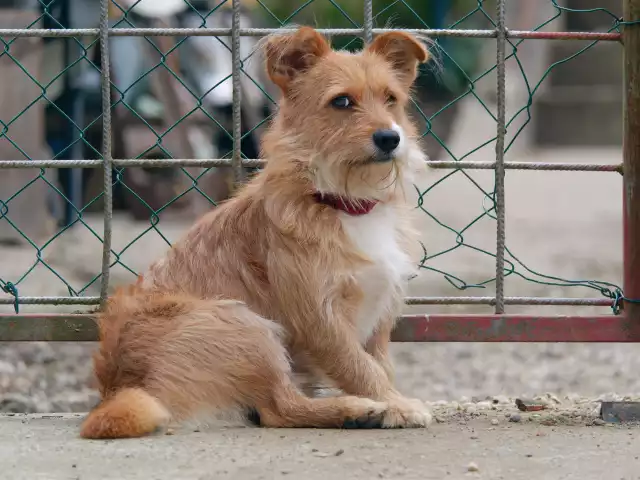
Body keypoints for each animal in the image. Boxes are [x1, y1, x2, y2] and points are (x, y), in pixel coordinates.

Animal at [79, 26, 430, 438]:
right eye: (342, 101)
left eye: (391, 99)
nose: (390, 139)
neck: (344, 201)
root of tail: (116, 388)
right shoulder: (319, 318)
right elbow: (360, 367)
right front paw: (395, 405)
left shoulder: (379, 317)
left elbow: (380, 365)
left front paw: (392, 399)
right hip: (244, 325)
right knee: (281, 409)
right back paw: (355, 410)